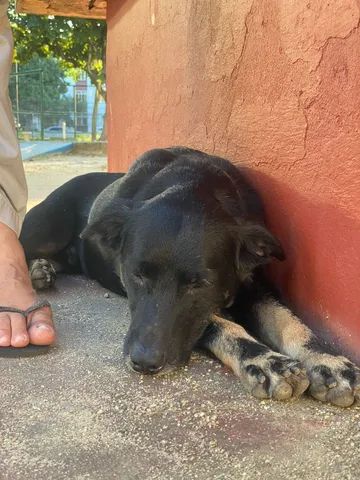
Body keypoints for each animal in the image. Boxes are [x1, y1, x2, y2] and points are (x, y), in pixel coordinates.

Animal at [20, 146, 360, 404]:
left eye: (199, 284)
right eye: (136, 275)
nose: (143, 364)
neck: (191, 183)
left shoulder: (252, 285)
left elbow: (290, 321)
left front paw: (327, 361)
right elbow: (220, 324)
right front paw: (264, 360)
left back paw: (43, 269)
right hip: (47, 230)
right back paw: (35, 271)